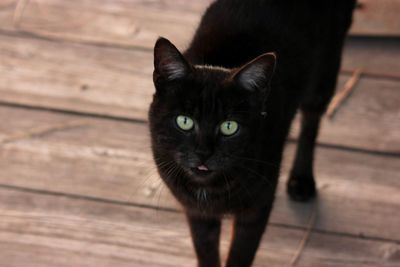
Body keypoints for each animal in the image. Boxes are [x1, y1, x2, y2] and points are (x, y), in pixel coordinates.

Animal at [148, 1, 354, 266]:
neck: (210, 189)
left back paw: (301, 180)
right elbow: (206, 252)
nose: (204, 153)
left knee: (311, 121)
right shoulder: (196, 212)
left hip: (325, 71)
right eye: (184, 121)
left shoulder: (256, 209)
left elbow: (240, 255)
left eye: (229, 126)